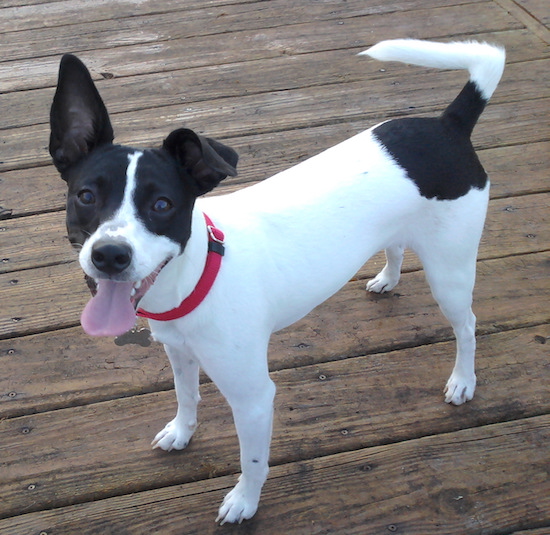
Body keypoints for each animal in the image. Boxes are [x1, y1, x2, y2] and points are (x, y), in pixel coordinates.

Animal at [49, 39, 506, 524]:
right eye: (85, 196)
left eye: (161, 204)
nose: (109, 255)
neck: (196, 278)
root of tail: (448, 125)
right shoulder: (179, 353)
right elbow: (186, 397)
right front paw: (181, 432)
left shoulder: (253, 397)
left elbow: (252, 460)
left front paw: (244, 503)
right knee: (396, 246)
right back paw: (387, 278)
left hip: (450, 273)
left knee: (468, 326)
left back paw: (463, 380)